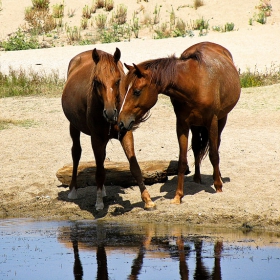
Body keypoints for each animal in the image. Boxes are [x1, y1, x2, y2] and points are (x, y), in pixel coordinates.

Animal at [61, 48, 155, 210]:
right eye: (97, 81)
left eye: (118, 81)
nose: (110, 113)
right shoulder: (96, 138)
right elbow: (99, 172)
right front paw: (99, 203)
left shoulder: (125, 133)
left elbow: (134, 167)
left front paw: (147, 199)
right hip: (73, 126)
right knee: (76, 153)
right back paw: (73, 190)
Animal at [118, 41, 241, 203]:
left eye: (136, 91)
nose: (121, 122)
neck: (195, 83)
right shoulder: (182, 125)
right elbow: (182, 161)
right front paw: (178, 196)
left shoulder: (212, 122)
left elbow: (214, 155)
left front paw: (218, 187)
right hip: (196, 125)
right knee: (196, 147)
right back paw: (197, 178)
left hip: (221, 119)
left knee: (216, 145)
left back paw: (218, 176)